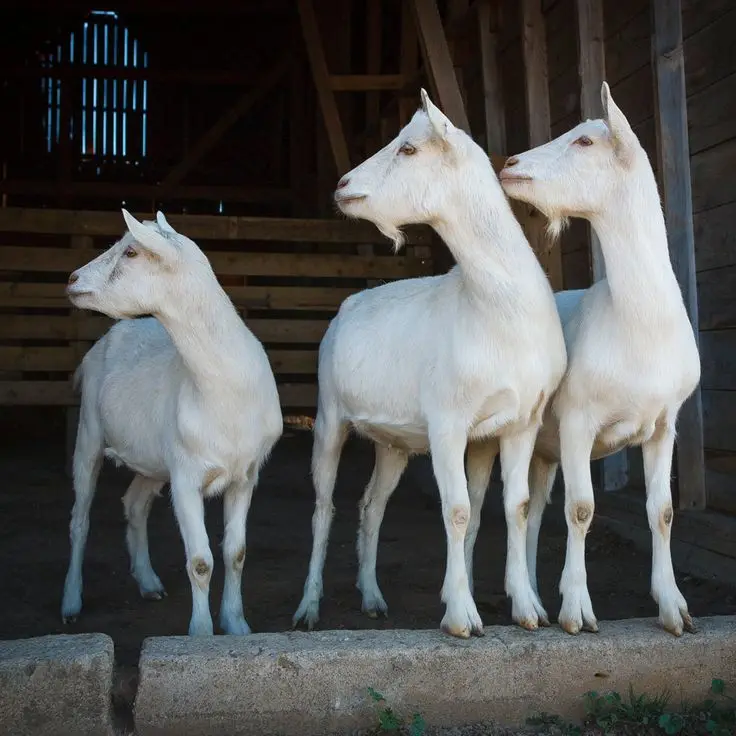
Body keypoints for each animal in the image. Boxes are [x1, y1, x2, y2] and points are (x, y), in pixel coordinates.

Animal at [61, 210, 282, 636]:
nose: (72, 279)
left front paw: (236, 624)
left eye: (131, 251)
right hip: (88, 433)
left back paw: (148, 582)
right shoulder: (185, 476)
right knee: (80, 520)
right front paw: (201, 632)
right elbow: (200, 561)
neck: (222, 393)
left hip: (151, 459)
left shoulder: (246, 476)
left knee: (134, 504)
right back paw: (71, 602)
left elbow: (236, 553)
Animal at [292, 89, 567, 638]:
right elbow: (457, 510)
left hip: (393, 443)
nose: (342, 186)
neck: (495, 312)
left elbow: (516, 506)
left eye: (408, 148)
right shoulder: (447, 422)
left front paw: (527, 609)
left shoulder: (520, 422)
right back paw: (308, 608)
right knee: (322, 508)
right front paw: (462, 616)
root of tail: (349, 305)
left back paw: (373, 597)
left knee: (372, 504)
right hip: (329, 417)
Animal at [492, 81, 700, 637]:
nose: (511, 162)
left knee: (534, 510)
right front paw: (578, 611)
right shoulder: (577, 421)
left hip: (543, 451)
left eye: (585, 141)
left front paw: (674, 608)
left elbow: (663, 511)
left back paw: (533, 593)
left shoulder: (665, 424)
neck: (637, 326)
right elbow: (582, 509)